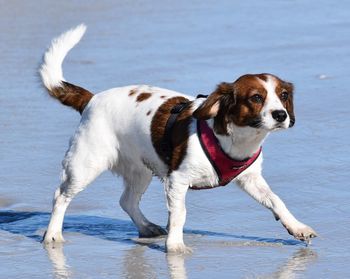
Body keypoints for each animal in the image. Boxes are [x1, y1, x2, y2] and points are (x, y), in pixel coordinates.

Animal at [40, 25, 318, 255]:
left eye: (283, 95)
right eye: (256, 98)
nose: (281, 115)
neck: (235, 139)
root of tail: (92, 99)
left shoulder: (251, 179)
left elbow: (276, 200)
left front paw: (297, 227)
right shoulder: (177, 181)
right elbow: (179, 214)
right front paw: (175, 246)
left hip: (140, 170)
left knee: (126, 201)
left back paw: (146, 227)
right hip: (85, 165)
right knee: (60, 196)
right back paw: (53, 235)